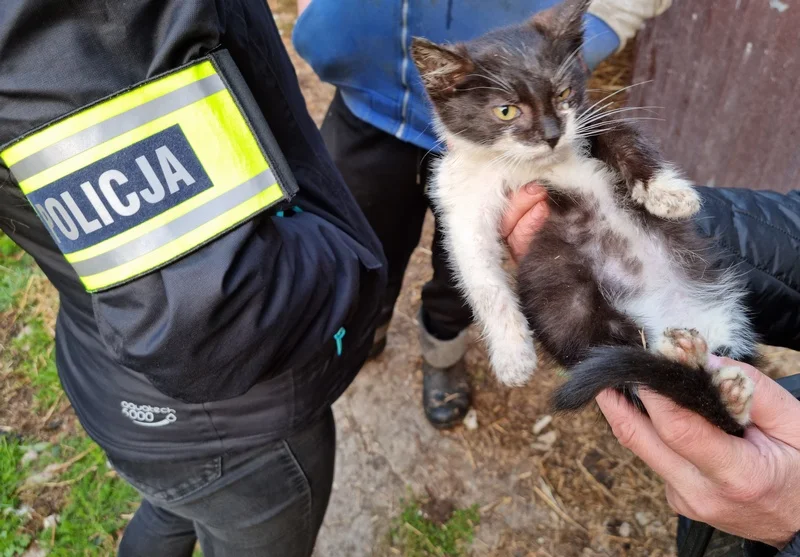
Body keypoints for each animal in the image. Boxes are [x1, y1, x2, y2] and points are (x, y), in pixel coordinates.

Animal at [412, 0, 756, 434]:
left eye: (563, 93)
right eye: (506, 110)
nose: (551, 134)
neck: (536, 164)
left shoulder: (594, 118)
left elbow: (627, 139)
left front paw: (667, 194)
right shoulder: (461, 199)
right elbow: (481, 276)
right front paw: (512, 356)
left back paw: (725, 389)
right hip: (568, 305)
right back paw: (687, 358)